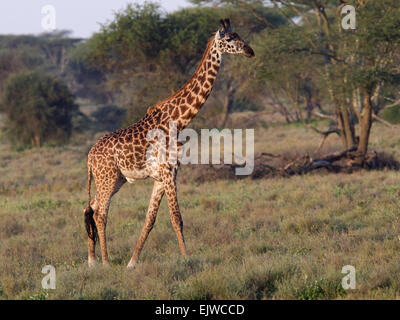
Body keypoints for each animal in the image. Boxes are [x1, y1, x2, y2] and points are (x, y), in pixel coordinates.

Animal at [83, 18, 255, 268]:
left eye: (239, 35)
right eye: (231, 38)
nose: (250, 50)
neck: (178, 120)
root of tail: (89, 157)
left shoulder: (161, 176)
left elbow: (150, 219)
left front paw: (132, 262)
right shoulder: (168, 172)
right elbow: (176, 217)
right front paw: (187, 258)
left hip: (115, 180)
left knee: (91, 207)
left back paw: (92, 260)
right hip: (107, 178)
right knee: (100, 213)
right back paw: (105, 262)